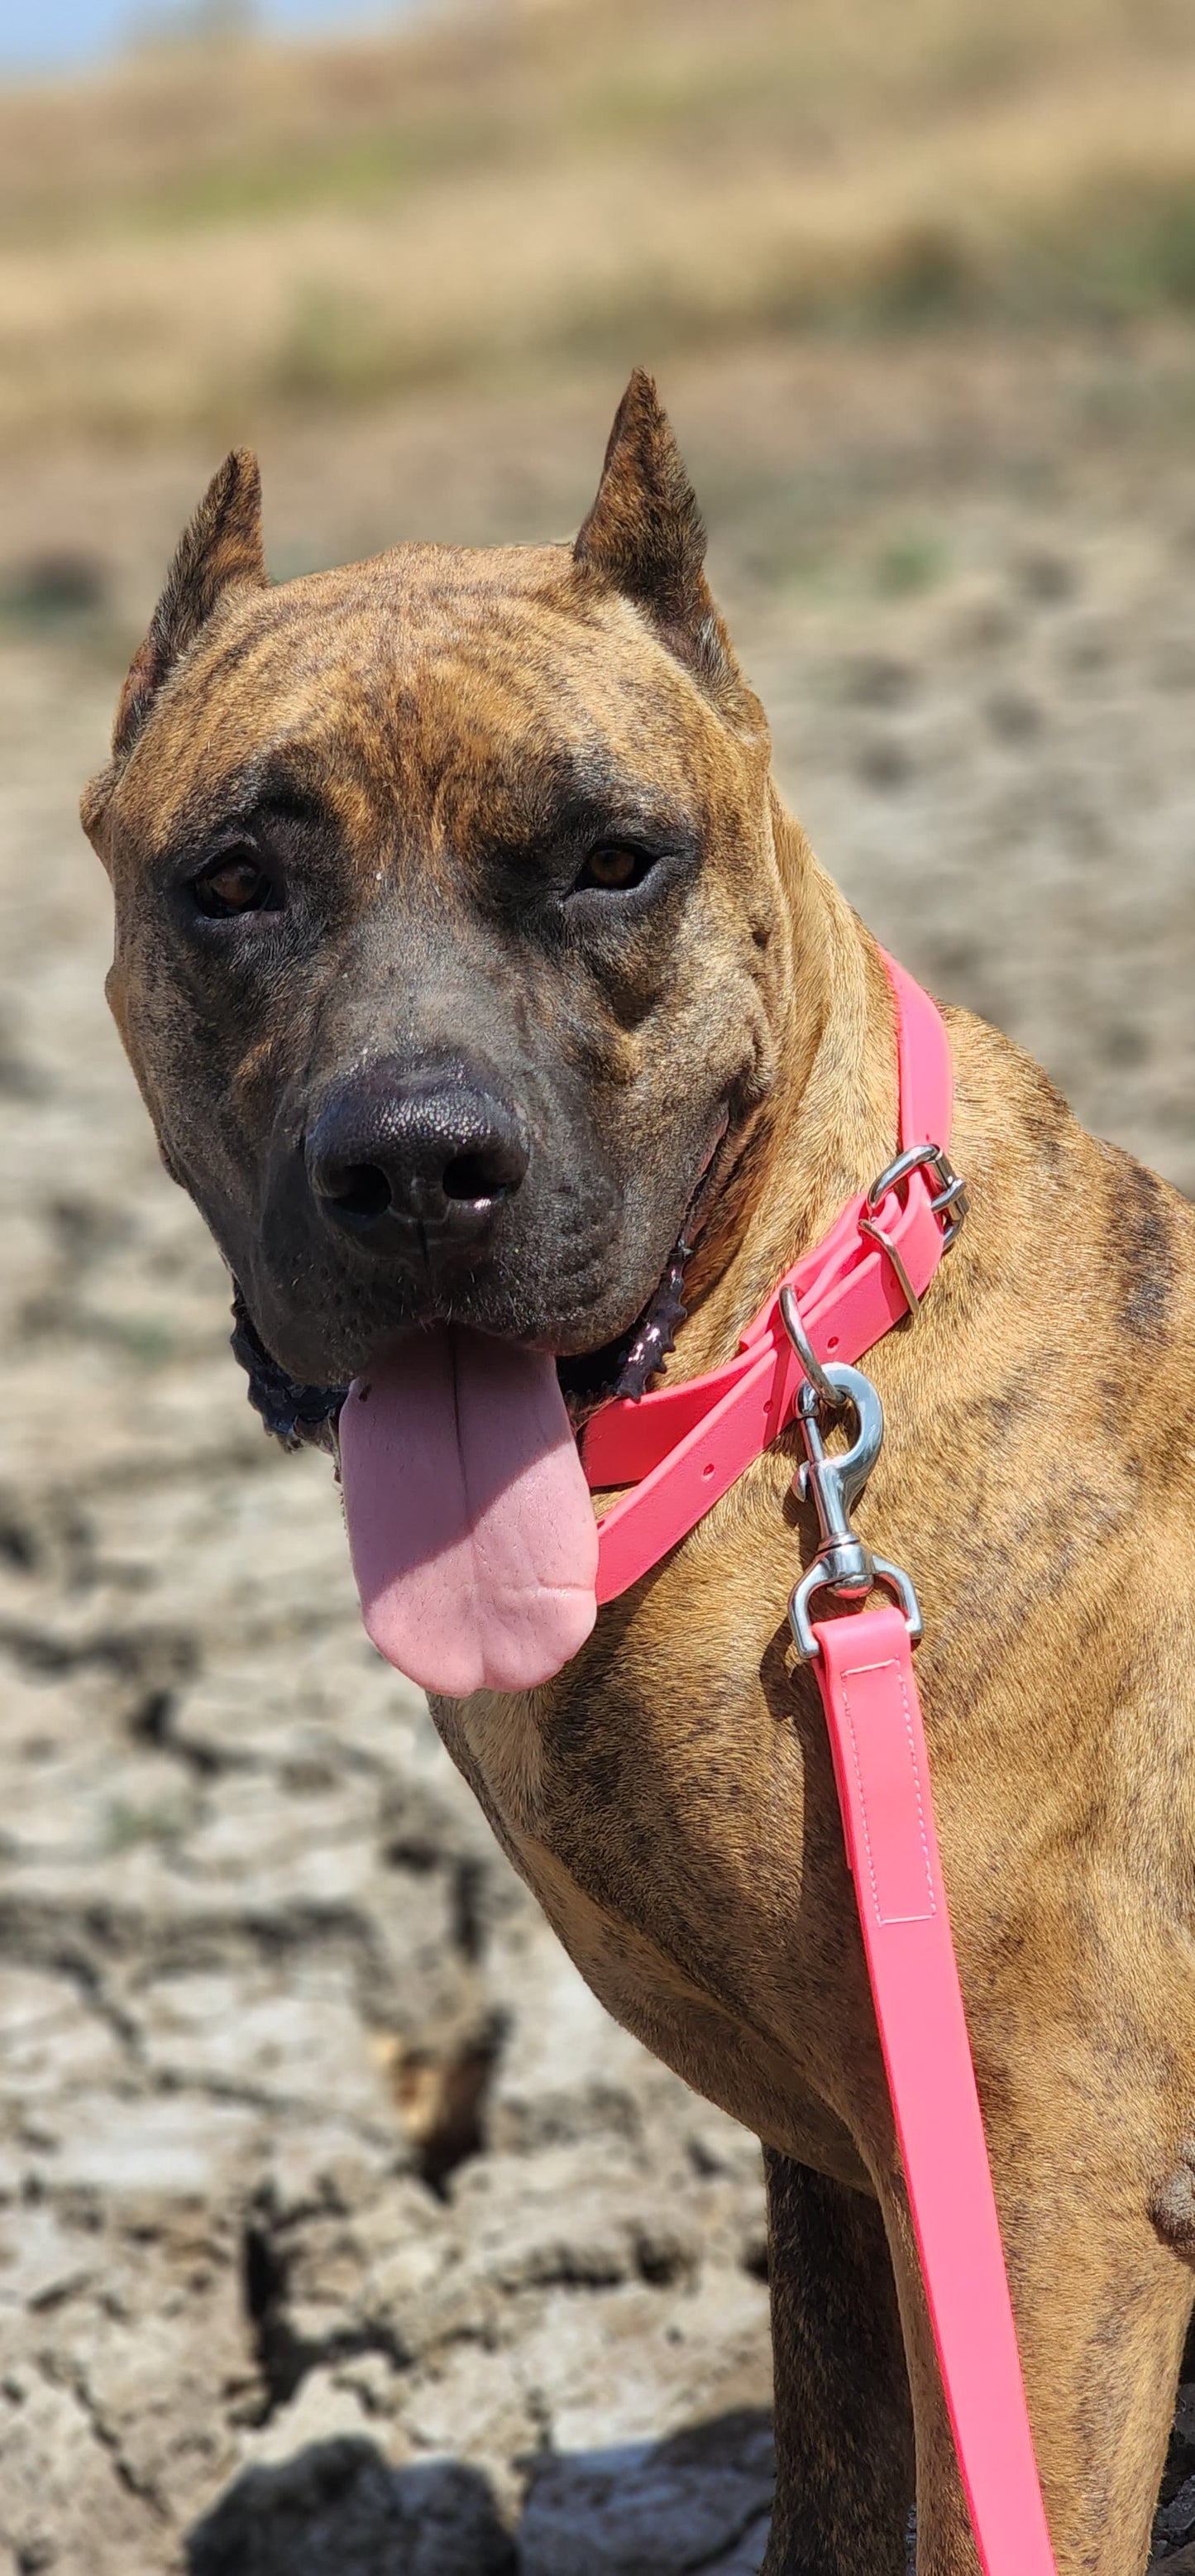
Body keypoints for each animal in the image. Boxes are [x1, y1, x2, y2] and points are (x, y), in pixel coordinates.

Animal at [79, 368, 1195, 2576]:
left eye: (611, 862)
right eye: (231, 879)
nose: (418, 1162)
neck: (786, 1342)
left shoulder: (1046, 2204)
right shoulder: (853, 2191)